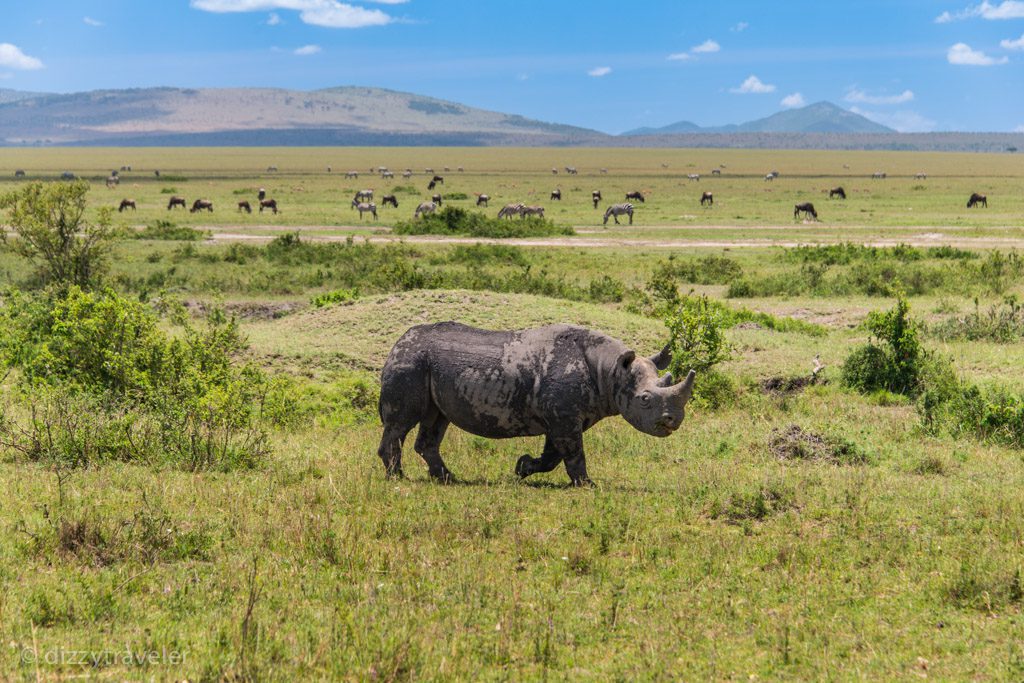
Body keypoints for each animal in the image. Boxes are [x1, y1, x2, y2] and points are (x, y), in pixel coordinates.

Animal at [377, 322, 696, 486]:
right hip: (411, 361)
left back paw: (447, 478)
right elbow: (573, 453)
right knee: (402, 421)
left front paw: (522, 467)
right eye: (645, 399)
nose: (673, 421)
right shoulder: (564, 417)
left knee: (435, 419)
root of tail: (398, 341)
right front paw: (587, 485)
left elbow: (554, 455)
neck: (610, 371)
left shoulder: (564, 417)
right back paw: (398, 477)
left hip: (426, 366)